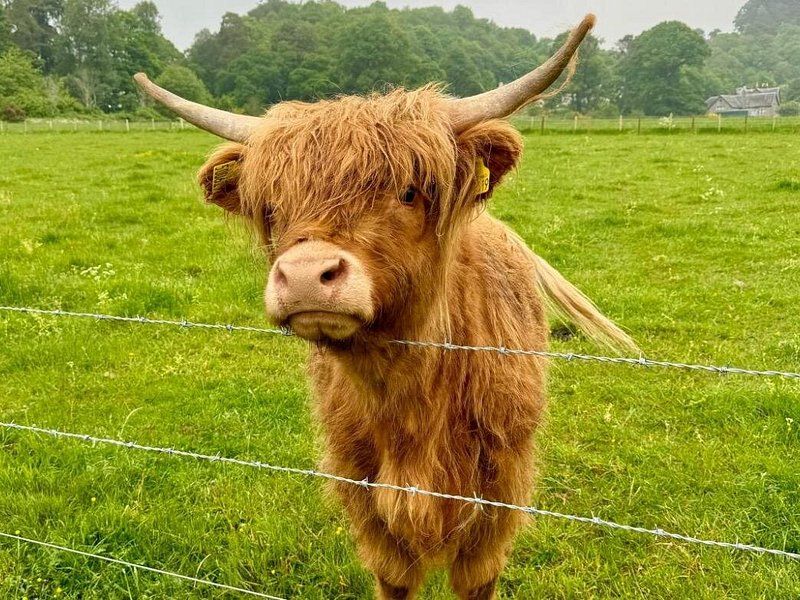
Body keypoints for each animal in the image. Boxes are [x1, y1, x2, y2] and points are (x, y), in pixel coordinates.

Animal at [135, 14, 634, 599]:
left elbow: (477, 578)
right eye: (273, 206)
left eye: (410, 192)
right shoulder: (364, 494)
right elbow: (394, 577)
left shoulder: (498, 499)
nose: (305, 276)